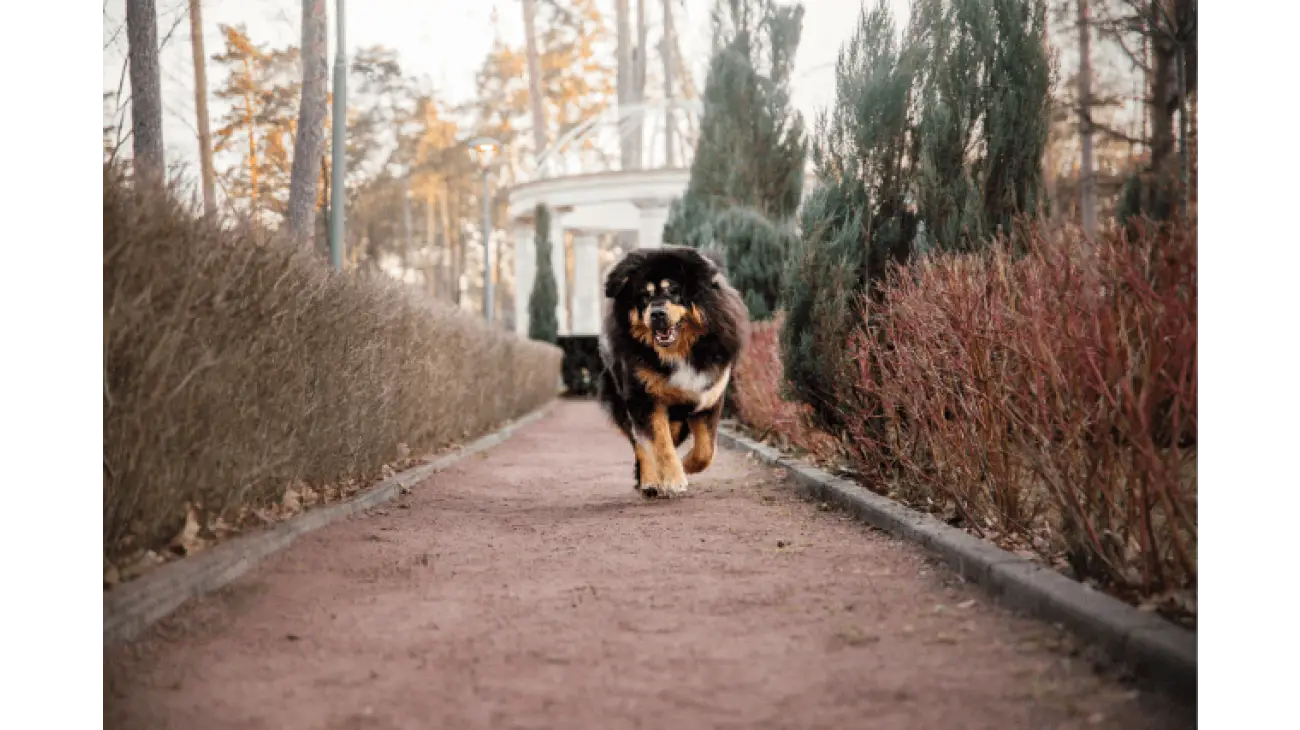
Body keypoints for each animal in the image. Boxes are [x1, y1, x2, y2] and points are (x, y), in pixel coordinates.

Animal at [595, 246, 748, 496]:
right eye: (644, 296)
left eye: (674, 291)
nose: (657, 313)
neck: (678, 354)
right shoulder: (644, 400)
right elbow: (660, 444)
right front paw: (674, 478)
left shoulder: (708, 397)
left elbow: (706, 450)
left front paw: (684, 466)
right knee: (641, 444)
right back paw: (650, 481)